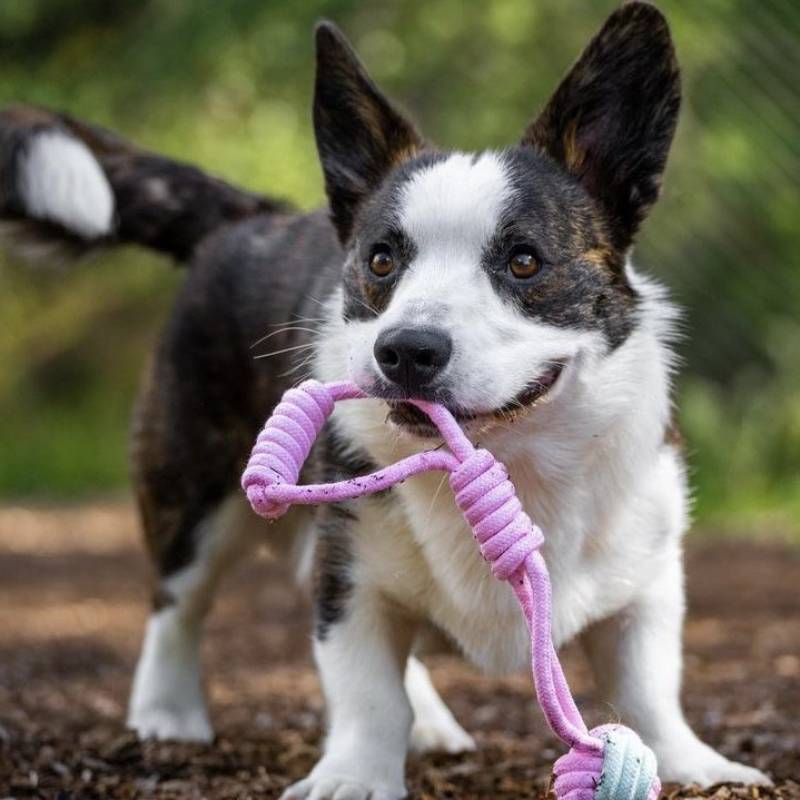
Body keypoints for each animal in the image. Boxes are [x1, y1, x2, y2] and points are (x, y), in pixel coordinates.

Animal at [0, 3, 770, 796]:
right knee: (176, 602)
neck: (508, 462)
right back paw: (167, 714)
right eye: (380, 261)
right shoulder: (349, 582)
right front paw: (355, 778)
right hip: (195, 488)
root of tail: (251, 219)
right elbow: (367, 691)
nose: (404, 351)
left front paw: (695, 765)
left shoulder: (646, 587)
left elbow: (649, 688)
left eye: (525, 262)